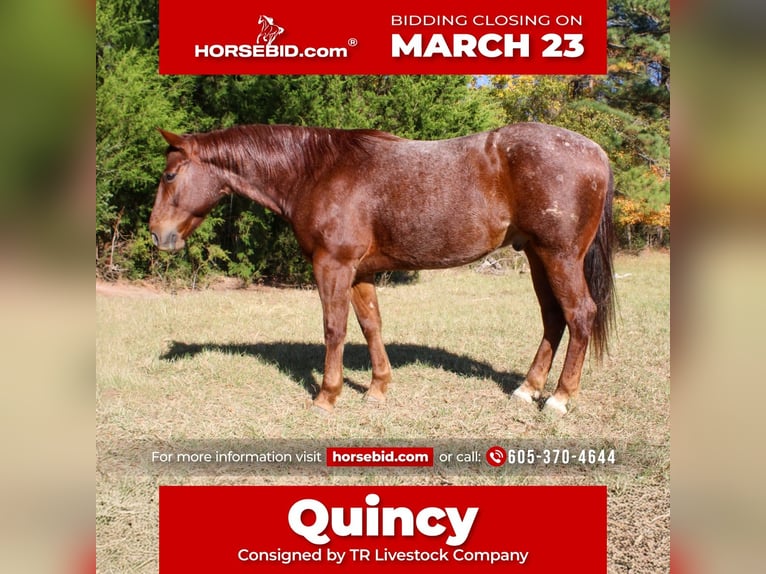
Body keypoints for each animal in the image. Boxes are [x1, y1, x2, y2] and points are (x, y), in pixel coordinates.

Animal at [149, 123, 616, 415]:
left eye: (169, 175)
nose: (157, 235)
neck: (317, 171)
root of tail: (596, 152)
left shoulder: (332, 266)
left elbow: (334, 328)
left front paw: (327, 396)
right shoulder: (359, 272)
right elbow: (371, 324)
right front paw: (376, 389)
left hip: (559, 256)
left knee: (579, 315)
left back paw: (558, 399)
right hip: (538, 256)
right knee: (554, 318)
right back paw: (527, 389)